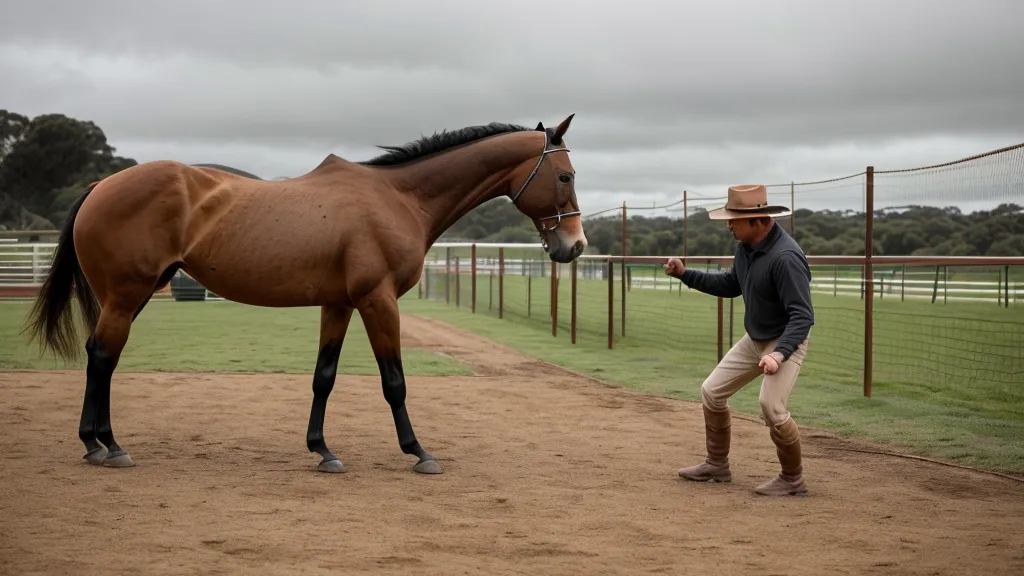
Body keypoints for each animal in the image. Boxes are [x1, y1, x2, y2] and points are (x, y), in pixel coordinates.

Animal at [22, 114, 587, 476]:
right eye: (565, 174)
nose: (574, 245)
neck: (398, 198)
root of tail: (101, 185)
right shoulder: (378, 300)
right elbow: (395, 382)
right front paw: (419, 452)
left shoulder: (338, 303)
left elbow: (324, 378)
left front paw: (323, 451)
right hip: (127, 294)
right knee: (102, 357)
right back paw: (108, 446)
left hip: (131, 296)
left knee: (103, 357)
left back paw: (97, 442)